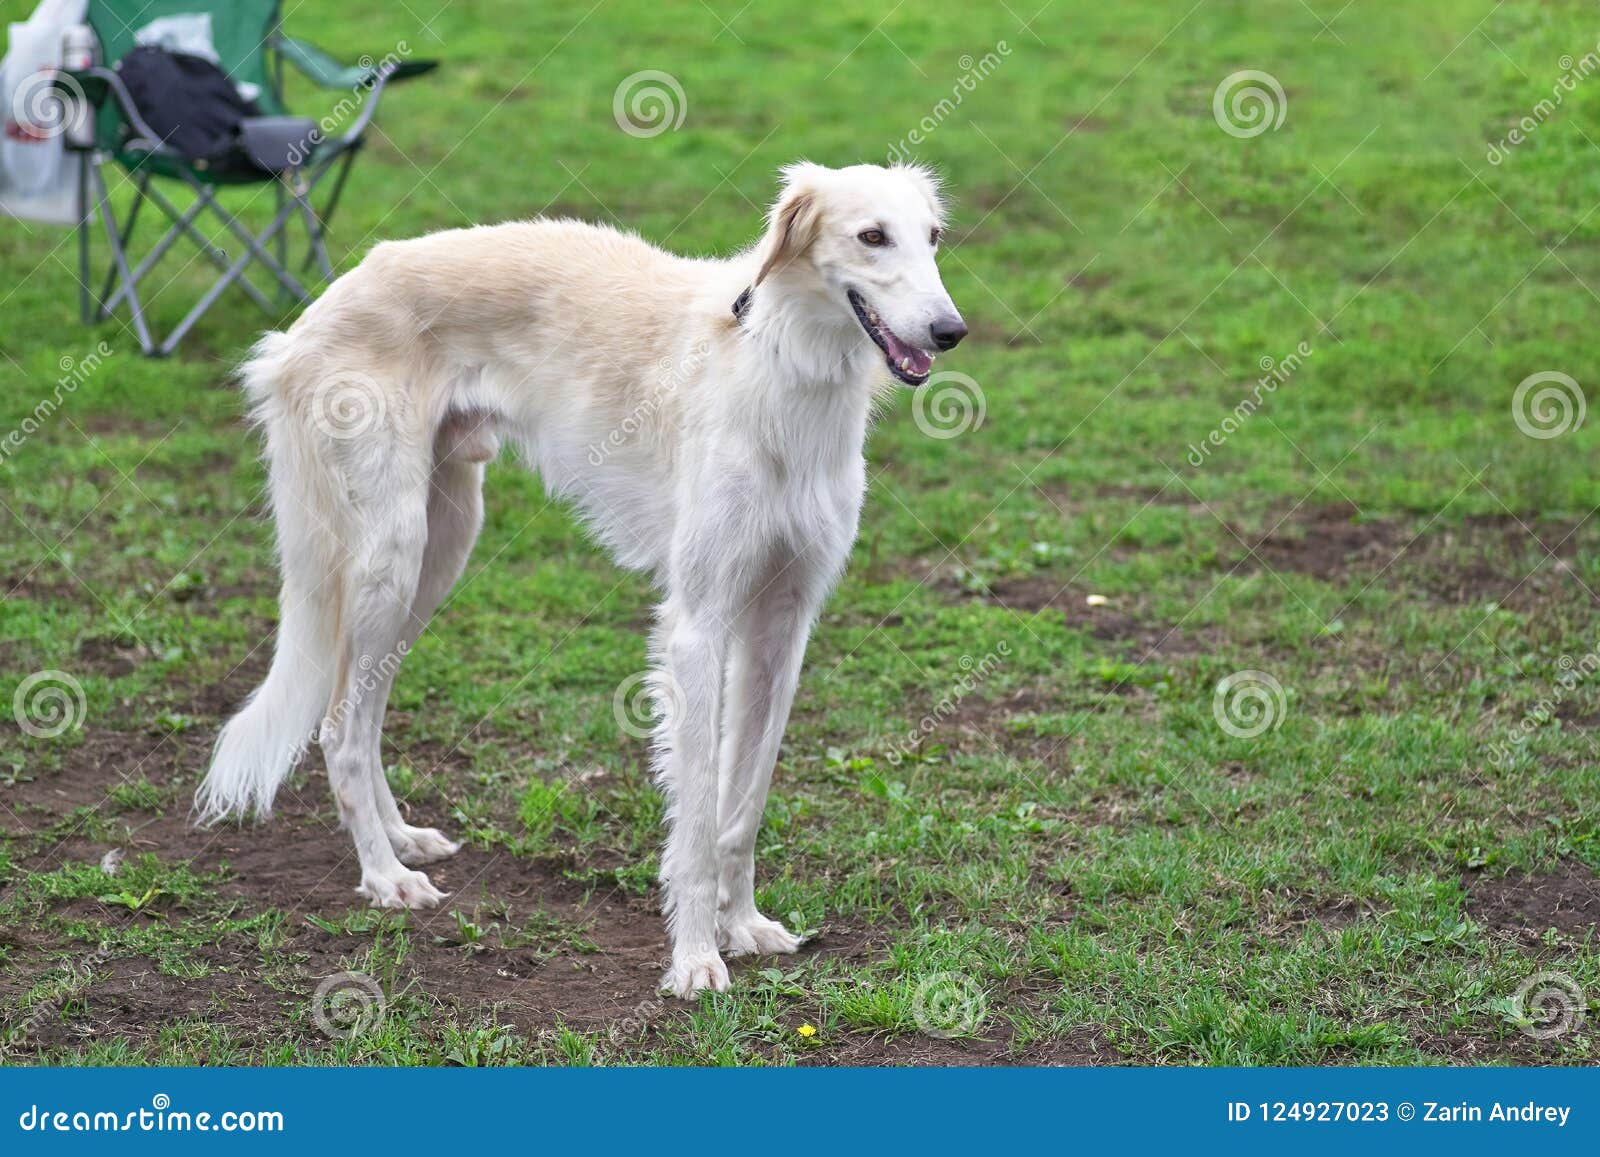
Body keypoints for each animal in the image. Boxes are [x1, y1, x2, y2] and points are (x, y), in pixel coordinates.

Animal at [200, 160, 972, 998]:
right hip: (390, 555)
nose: (950, 331)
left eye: (933, 237)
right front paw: (695, 957)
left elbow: (744, 802)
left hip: (439, 548)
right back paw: (383, 876)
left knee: (363, 711)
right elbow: (699, 814)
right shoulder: (698, 623)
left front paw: (743, 925)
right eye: (871, 236)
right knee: (340, 725)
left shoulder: (783, 622)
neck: (777, 364)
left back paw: (403, 838)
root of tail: (308, 320)